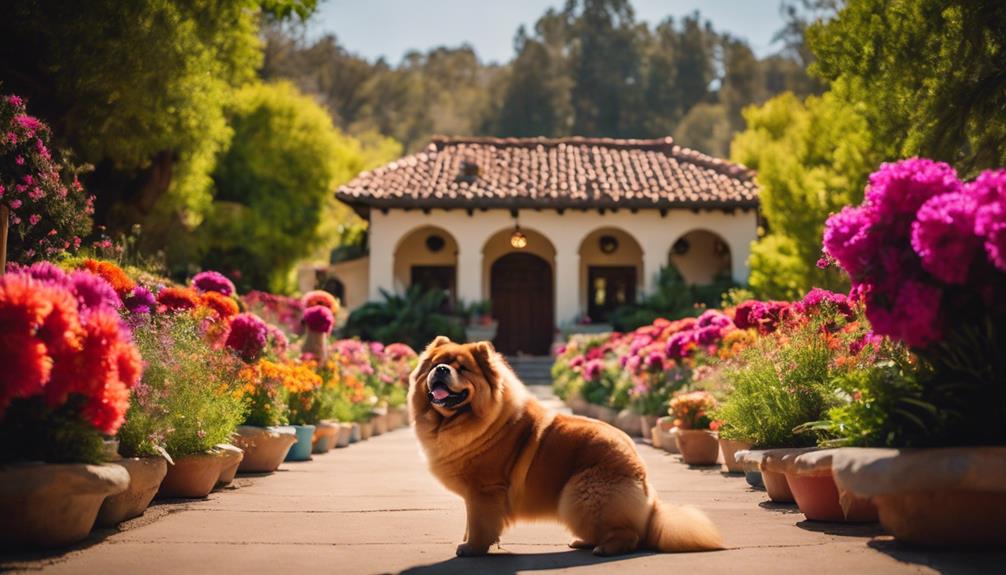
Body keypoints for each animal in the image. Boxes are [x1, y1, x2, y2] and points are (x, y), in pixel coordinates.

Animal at [408, 337, 724, 558]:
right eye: (434, 365)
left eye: (462, 369)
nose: (441, 369)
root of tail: (645, 482)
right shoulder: (474, 495)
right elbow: (470, 522)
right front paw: (467, 541)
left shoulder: (484, 491)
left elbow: (479, 524)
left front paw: (472, 548)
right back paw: (584, 541)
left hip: (579, 492)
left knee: (630, 535)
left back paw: (605, 548)